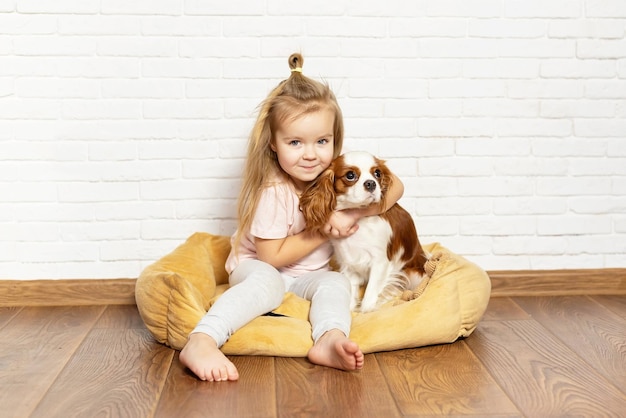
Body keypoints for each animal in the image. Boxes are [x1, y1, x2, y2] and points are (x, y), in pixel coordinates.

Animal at [298, 152, 428, 312]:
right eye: (350, 175)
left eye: (377, 173)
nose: (371, 183)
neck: (360, 221)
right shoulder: (349, 265)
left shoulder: (380, 262)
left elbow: (369, 296)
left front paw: (368, 310)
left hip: (412, 274)